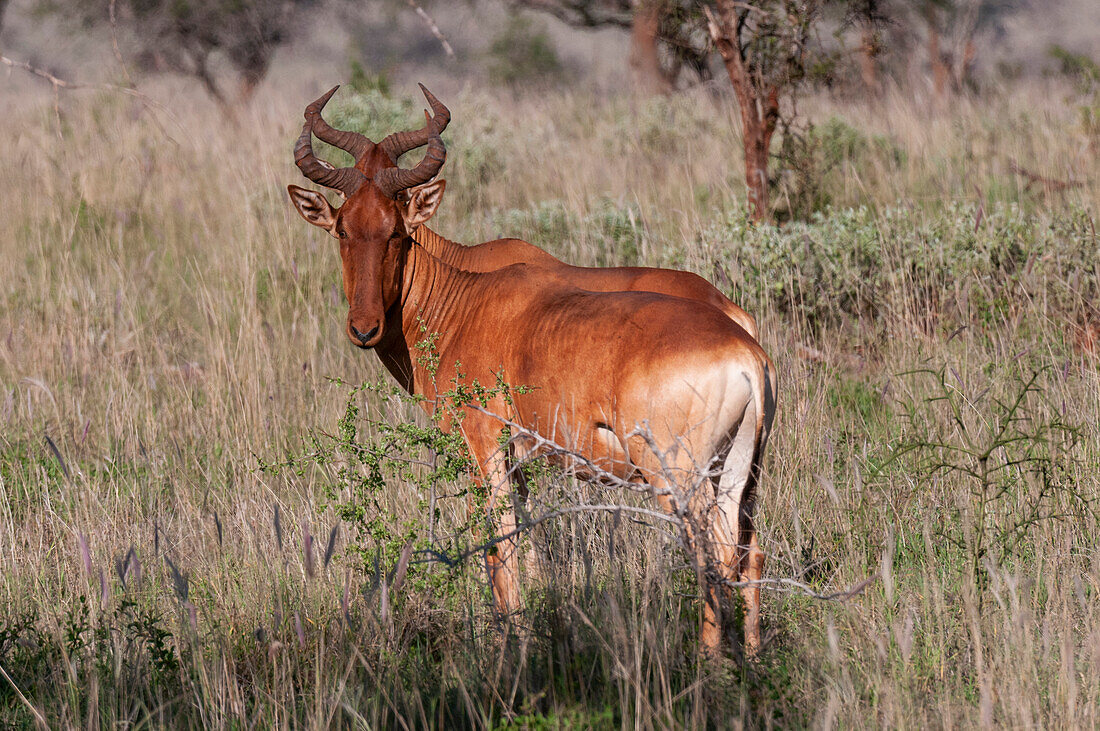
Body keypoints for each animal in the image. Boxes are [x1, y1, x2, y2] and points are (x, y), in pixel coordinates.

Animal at [288, 85, 778, 655]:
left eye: (396, 231)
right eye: (343, 227)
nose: (364, 328)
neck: (467, 298)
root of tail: (744, 348)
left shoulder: (485, 449)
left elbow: (499, 548)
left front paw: (509, 645)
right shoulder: (520, 462)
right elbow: (527, 549)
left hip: (677, 474)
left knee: (707, 555)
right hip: (742, 470)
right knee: (744, 552)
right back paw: (750, 661)